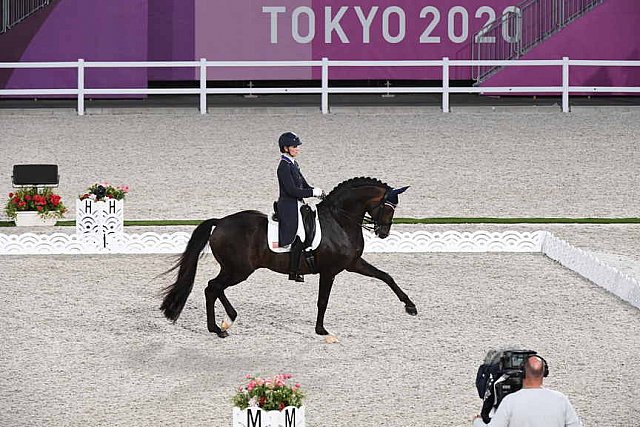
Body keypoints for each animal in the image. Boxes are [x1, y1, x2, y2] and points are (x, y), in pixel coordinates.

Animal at [161, 177, 416, 342]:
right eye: (388, 208)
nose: (383, 233)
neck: (340, 221)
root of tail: (221, 222)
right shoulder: (330, 271)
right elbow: (323, 301)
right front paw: (322, 330)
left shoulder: (352, 264)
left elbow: (386, 277)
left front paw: (410, 306)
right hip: (239, 270)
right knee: (212, 287)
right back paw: (218, 327)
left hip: (235, 269)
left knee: (214, 288)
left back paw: (225, 322)